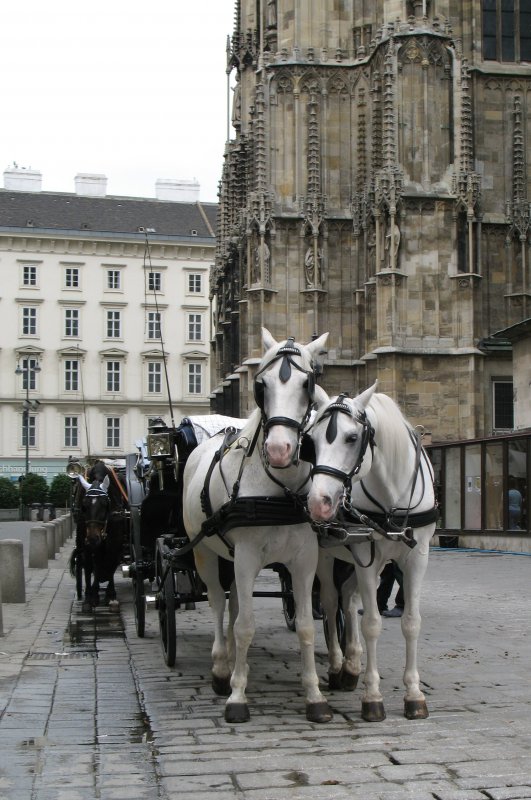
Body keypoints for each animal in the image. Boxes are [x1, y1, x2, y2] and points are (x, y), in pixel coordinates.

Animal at [183, 328, 332, 720]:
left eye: (308, 383)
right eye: (261, 386)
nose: (279, 450)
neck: (279, 491)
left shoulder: (303, 560)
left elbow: (306, 627)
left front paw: (314, 696)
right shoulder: (248, 556)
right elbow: (245, 627)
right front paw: (237, 696)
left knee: (235, 604)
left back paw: (240, 664)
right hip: (206, 553)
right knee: (219, 605)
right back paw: (223, 668)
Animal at [306, 384, 438, 720]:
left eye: (352, 438)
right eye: (311, 441)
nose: (318, 503)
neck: (392, 498)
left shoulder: (416, 559)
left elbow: (411, 622)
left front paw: (414, 694)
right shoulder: (366, 556)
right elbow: (372, 624)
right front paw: (373, 697)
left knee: (349, 601)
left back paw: (352, 665)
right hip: (326, 555)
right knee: (330, 601)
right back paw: (337, 666)